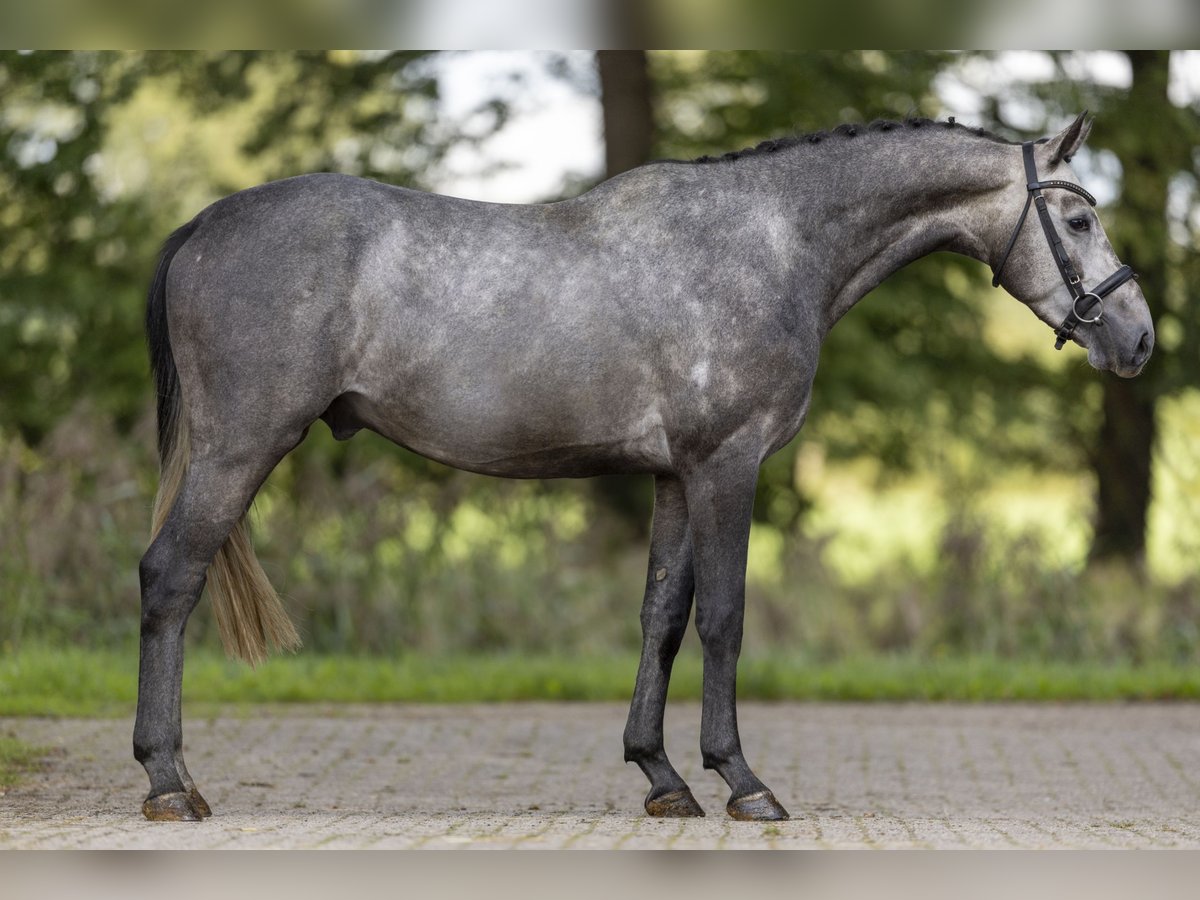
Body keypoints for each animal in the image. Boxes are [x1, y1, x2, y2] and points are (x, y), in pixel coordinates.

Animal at [131, 112, 1152, 825]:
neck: (772, 242)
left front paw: (662, 778)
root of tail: (204, 225)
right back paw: (168, 781)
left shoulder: (675, 478)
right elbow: (725, 621)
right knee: (170, 578)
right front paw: (742, 782)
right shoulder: (727, 467)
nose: (1138, 339)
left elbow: (661, 619)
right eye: (1077, 216)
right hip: (240, 446)